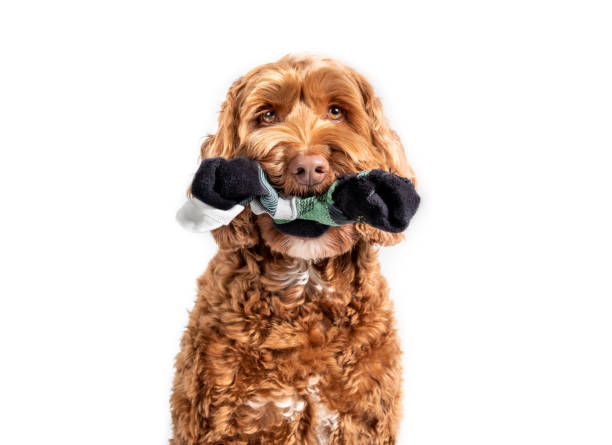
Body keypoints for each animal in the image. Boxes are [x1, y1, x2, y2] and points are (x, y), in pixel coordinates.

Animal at [172, 53, 420, 442]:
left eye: (336, 111)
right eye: (267, 115)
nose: (307, 167)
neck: (306, 289)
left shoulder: (362, 419)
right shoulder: (224, 418)